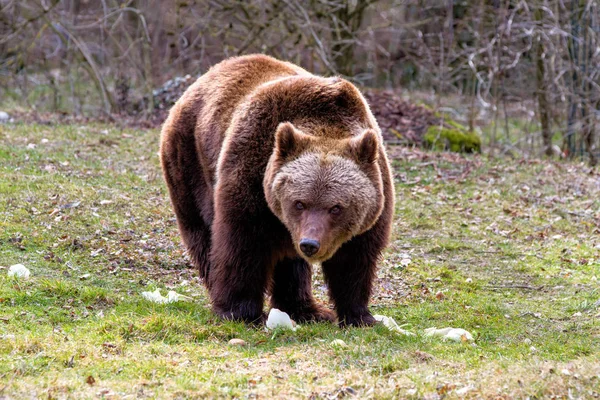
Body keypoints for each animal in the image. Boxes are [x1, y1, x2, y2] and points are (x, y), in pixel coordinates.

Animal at [159, 54, 394, 324]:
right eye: (299, 202)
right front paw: (240, 311)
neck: (326, 121)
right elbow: (242, 243)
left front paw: (360, 315)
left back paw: (305, 309)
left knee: (291, 263)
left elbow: (354, 260)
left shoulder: (375, 195)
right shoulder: (252, 171)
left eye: (336, 207)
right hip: (188, 161)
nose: (310, 244)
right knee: (201, 232)